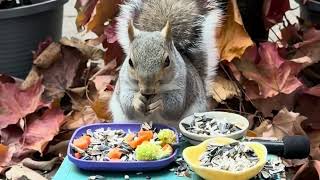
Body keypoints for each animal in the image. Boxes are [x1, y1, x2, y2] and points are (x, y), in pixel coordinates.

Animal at [109, 0, 221, 128]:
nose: (147, 90)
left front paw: (160, 101)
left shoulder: (184, 85)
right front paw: (137, 100)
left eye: (167, 61)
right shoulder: (124, 84)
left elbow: (176, 106)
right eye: (130, 62)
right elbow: (126, 104)